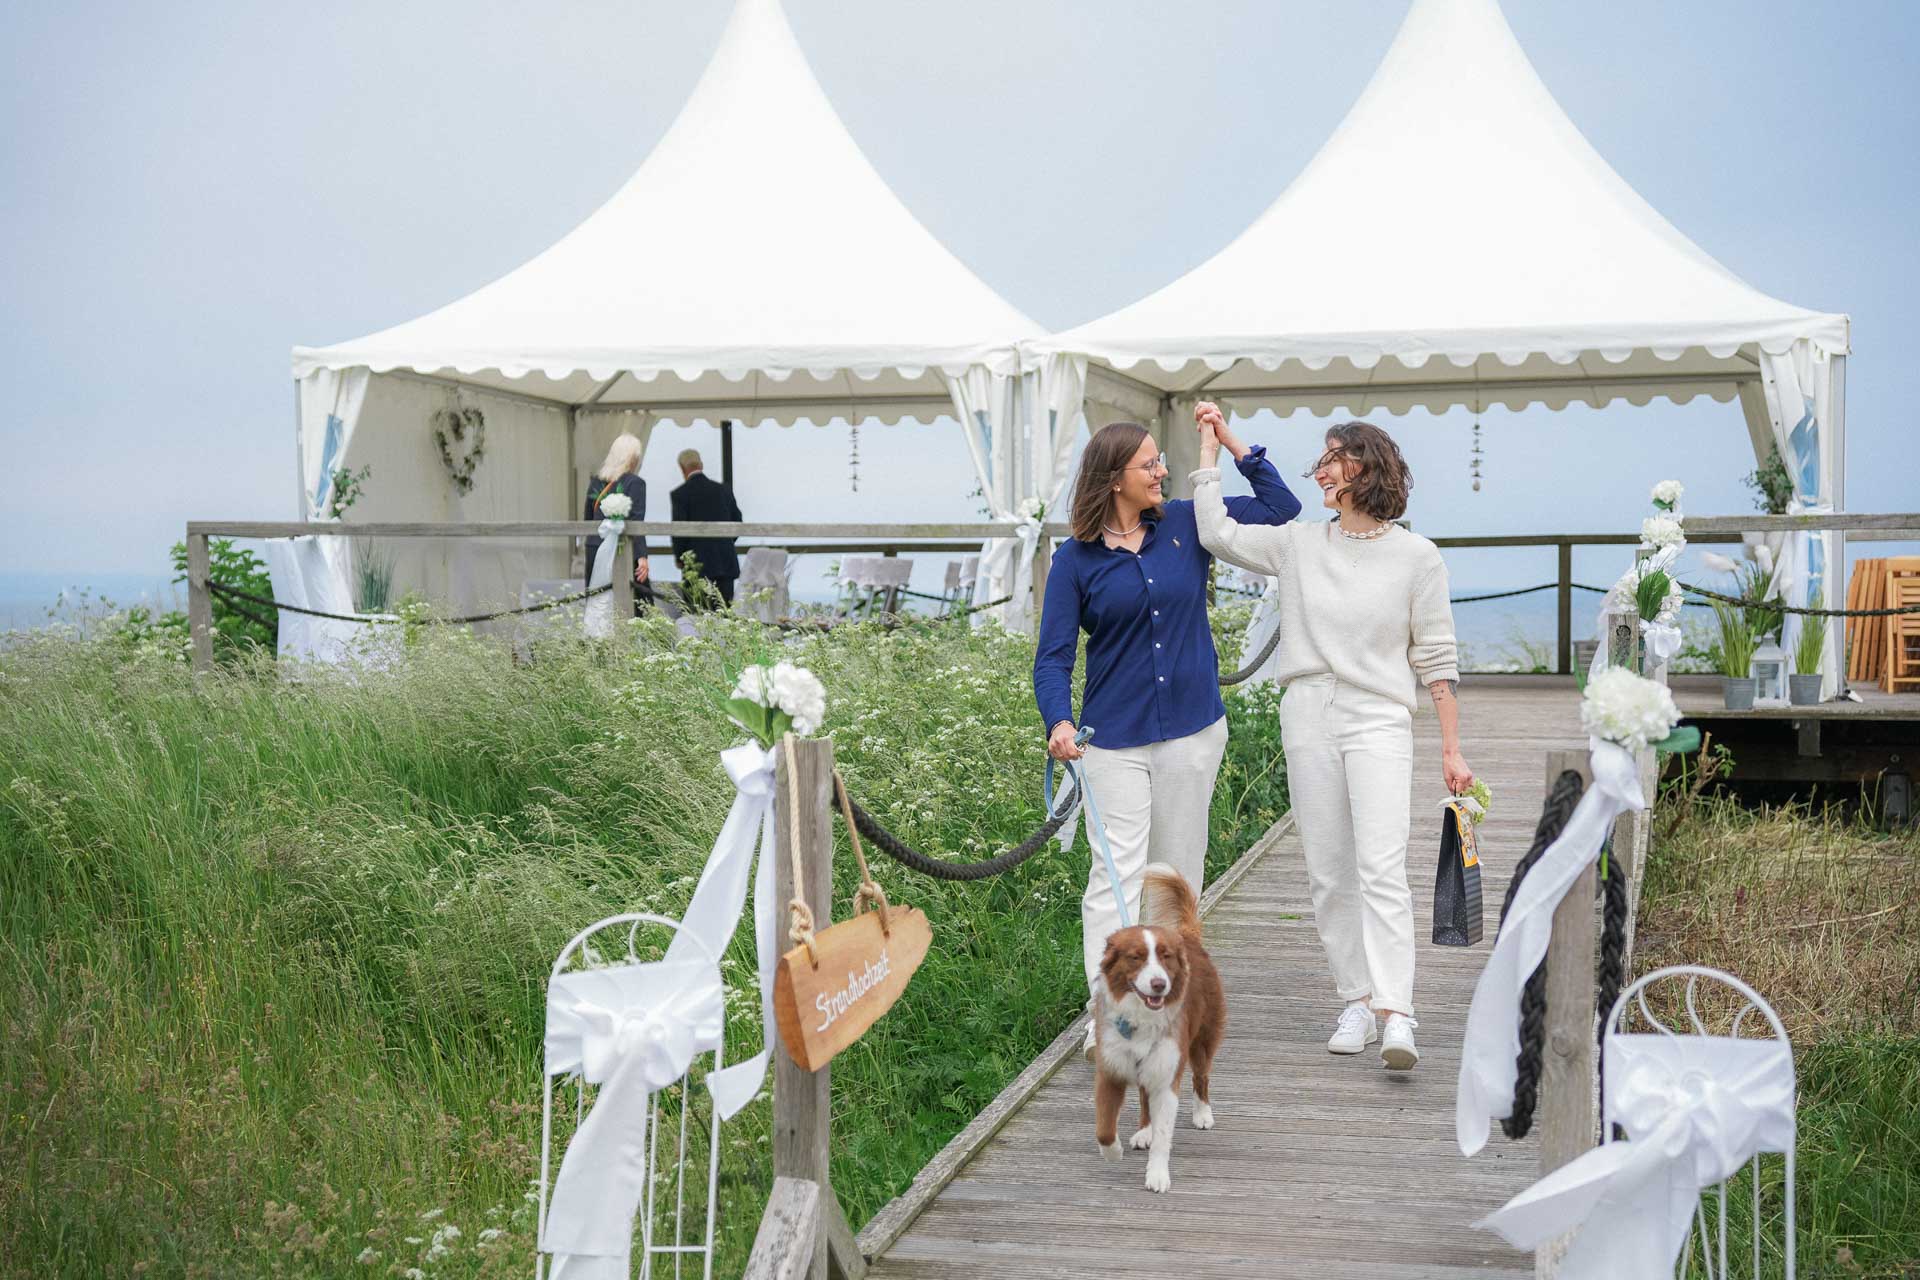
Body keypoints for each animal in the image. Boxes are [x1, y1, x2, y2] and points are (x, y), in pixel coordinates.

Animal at [1092, 862, 1225, 1193]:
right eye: (1135, 957)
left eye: (1165, 957)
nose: (1159, 984)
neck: (1140, 1018)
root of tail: (1187, 937)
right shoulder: (1110, 1070)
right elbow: (1104, 1129)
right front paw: (1114, 1153)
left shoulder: (1167, 1072)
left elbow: (1165, 1135)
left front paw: (1157, 1175)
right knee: (1142, 1095)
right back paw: (1144, 1131)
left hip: (1203, 1039)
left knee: (1201, 1077)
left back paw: (1203, 1113)